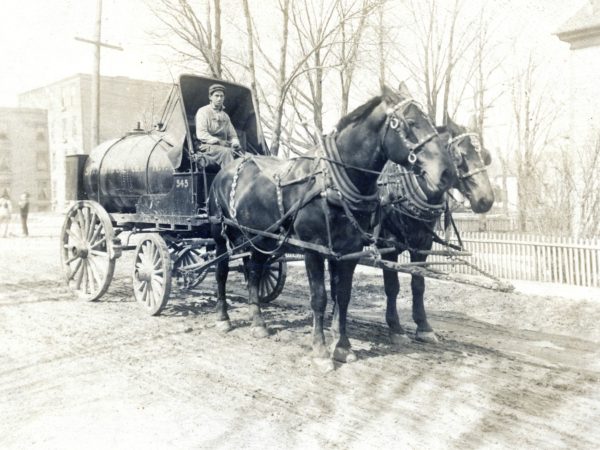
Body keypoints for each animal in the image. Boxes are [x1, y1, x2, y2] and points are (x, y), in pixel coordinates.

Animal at [209, 85, 452, 370]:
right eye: (412, 123)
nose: (446, 172)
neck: (331, 185)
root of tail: (229, 167)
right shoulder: (313, 249)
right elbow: (320, 298)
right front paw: (321, 350)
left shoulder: (348, 251)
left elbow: (343, 296)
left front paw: (343, 347)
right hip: (219, 235)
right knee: (221, 271)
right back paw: (223, 317)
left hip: (260, 238)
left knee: (255, 272)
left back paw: (258, 321)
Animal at [378, 118, 494, 344]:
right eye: (460, 156)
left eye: (486, 156)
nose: (486, 200)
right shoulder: (387, 244)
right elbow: (392, 286)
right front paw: (395, 327)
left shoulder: (422, 244)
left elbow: (418, 283)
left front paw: (423, 327)